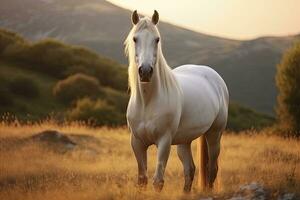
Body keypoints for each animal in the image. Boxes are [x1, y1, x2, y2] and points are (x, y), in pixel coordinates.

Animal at [125, 10, 229, 192]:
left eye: (157, 39)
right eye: (135, 39)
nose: (145, 72)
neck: (147, 102)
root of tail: (215, 77)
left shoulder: (164, 141)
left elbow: (158, 181)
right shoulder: (137, 143)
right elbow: (142, 180)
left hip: (214, 134)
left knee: (212, 168)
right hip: (184, 141)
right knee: (190, 169)